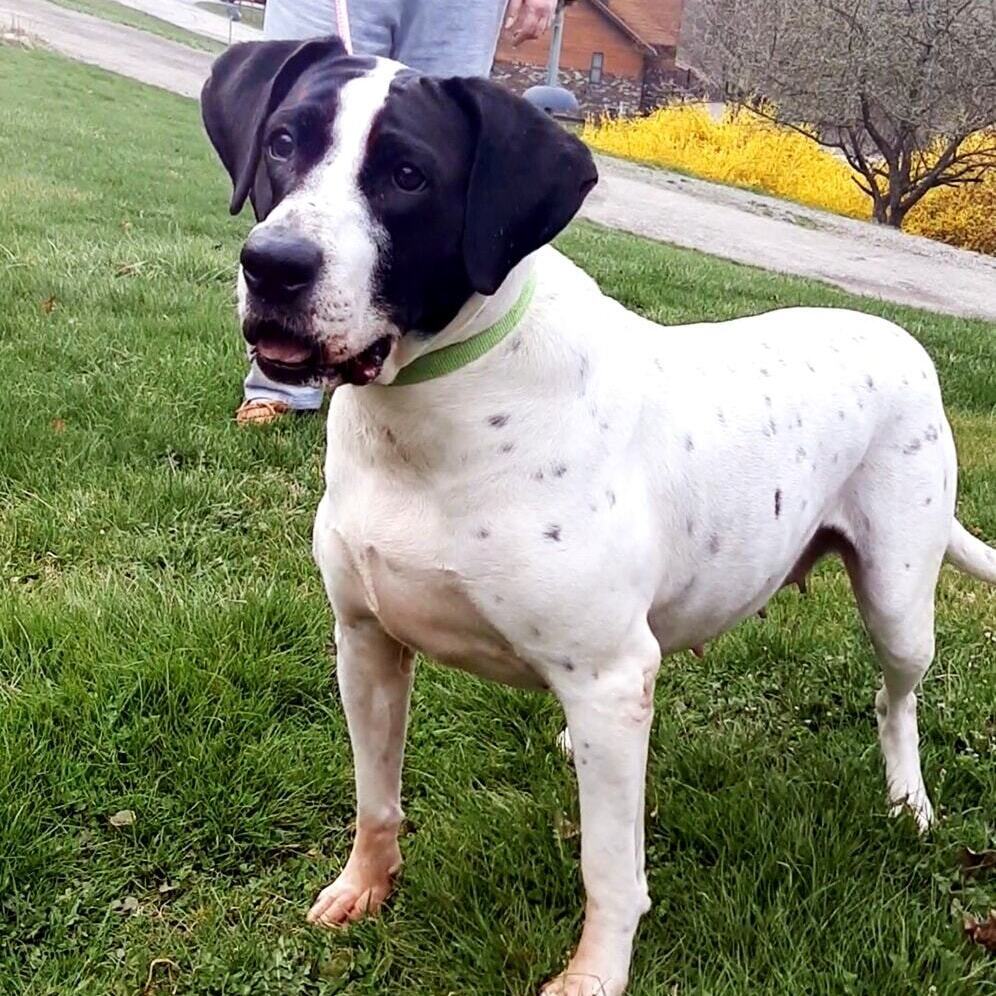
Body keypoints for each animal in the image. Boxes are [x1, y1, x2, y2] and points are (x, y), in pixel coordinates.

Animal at [202, 39, 996, 996]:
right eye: (285, 142)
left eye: (407, 175)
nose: (274, 264)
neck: (433, 409)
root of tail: (902, 340)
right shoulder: (366, 642)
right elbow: (375, 795)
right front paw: (366, 886)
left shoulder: (610, 679)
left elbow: (610, 866)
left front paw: (595, 973)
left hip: (897, 601)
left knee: (895, 697)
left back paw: (907, 801)